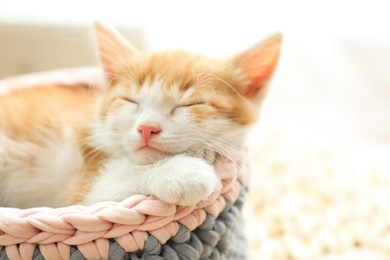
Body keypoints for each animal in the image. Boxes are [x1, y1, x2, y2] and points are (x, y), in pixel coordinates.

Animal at [0, 23, 282, 208]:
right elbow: (106, 186)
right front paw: (182, 171)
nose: (147, 128)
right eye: (131, 101)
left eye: (189, 104)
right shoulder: (81, 190)